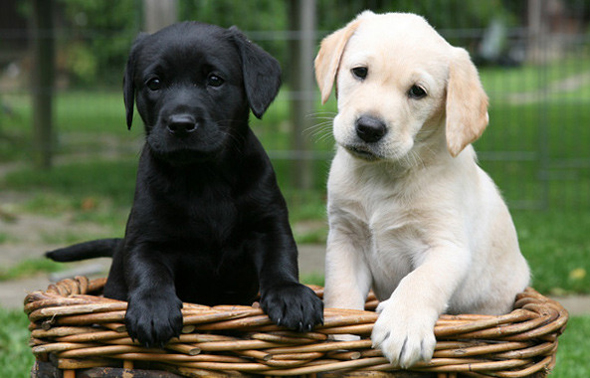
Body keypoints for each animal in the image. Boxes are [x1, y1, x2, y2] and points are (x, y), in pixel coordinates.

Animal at [46, 22, 324, 346]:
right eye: (154, 83)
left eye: (214, 80)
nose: (180, 124)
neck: (204, 178)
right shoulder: (146, 238)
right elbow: (149, 271)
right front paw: (152, 311)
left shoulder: (270, 225)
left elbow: (279, 260)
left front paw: (292, 296)